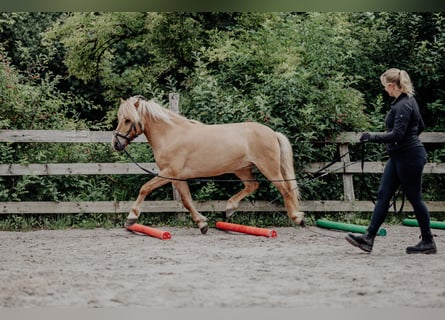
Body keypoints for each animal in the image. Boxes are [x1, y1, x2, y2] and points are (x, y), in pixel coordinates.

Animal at [112, 96, 306, 234]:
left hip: (269, 168)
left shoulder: (169, 172)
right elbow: (187, 201)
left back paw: (297, 218)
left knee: (285, 188)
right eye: (119, 117)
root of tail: (272, 133)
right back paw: (229, 208)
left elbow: (145, 188)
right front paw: (202, 223)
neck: (170, 135)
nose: (116, 144)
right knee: (253, 185)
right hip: (241, 169)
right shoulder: (177, 177)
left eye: (128, 120)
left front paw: (131, 217)